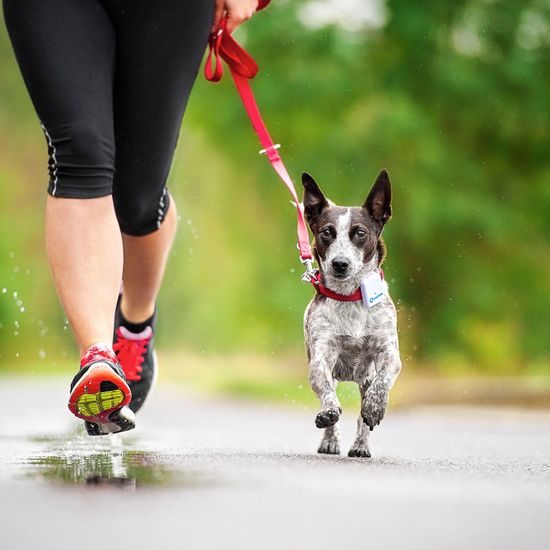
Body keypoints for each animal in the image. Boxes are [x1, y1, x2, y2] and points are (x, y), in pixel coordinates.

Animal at [304, 170, 404, 460]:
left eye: (360, 233)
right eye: (327, 232)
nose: (340, 263)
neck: (350, 298)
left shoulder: (389, 354)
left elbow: (381, 384)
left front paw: (374, 408)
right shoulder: (321, 357)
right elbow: (326, 391)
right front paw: (328, 413)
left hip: (365, 378)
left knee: (362, 417)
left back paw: (361, 445)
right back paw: (330, 440)